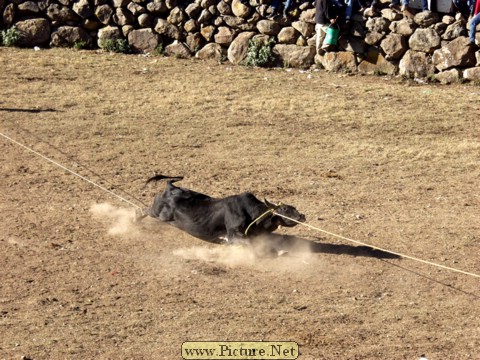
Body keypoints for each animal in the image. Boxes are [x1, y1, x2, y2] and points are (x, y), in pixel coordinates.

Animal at [133, 175, 306, 243]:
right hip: (157, 213)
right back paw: (135, 218)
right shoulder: (233, 233)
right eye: (285, 209)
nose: (302, 216)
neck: (253, 214)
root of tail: (171, 187)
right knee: (143, 210)